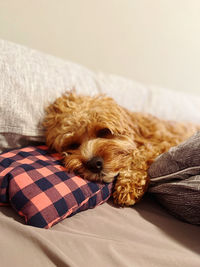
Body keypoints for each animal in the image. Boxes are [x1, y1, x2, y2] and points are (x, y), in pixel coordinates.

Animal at [43, 92, 199, 207]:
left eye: (104, 132)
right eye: (73, 145)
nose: (93, 164)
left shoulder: (169, 142)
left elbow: (142, 154)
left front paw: (128, 185)